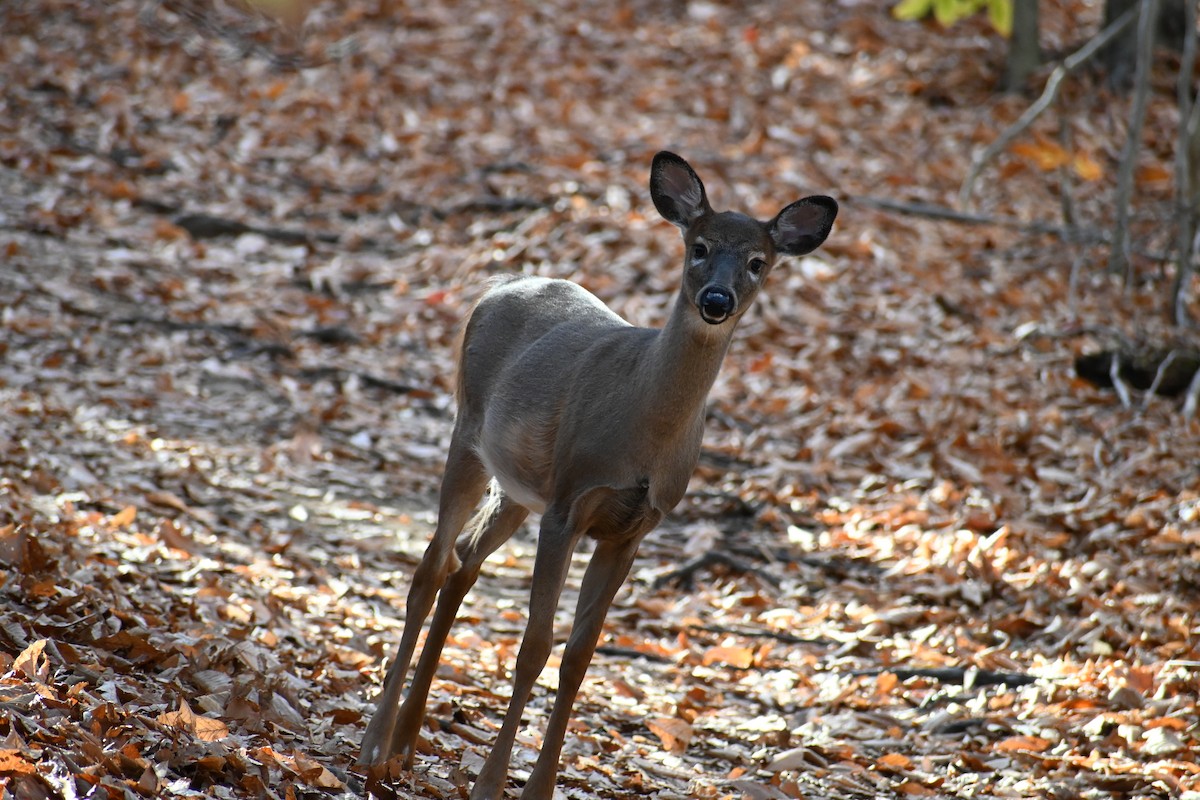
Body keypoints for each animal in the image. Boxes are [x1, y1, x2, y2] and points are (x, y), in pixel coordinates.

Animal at [358, 151, 837, 799]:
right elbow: (535, 647)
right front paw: (491, 785)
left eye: (758, 262)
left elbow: (579, 658)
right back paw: (375, 747)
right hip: (469, 431)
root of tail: (500, 282)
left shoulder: (631, 529)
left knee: (463, 560)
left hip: (519, 485)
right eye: (699, 246)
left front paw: (539, 787)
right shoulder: (570, 504)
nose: (716, 299)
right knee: (431, 566)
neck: (644, 434)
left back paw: (407, 742)